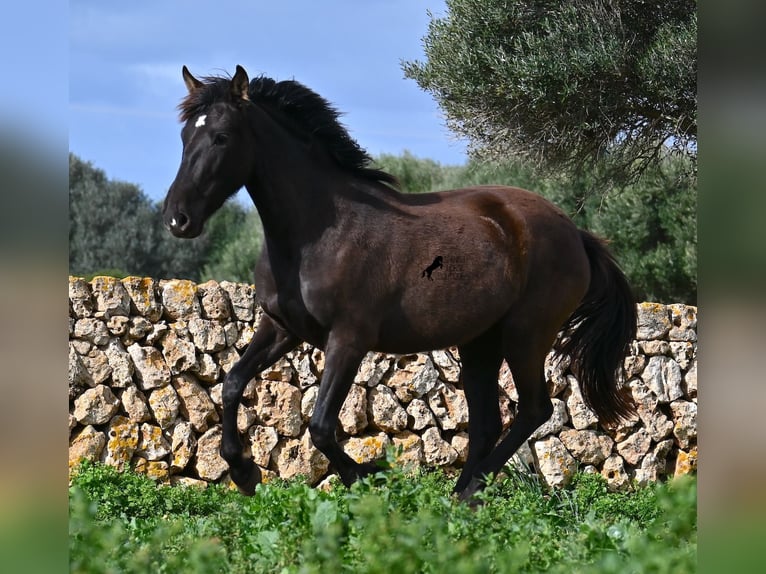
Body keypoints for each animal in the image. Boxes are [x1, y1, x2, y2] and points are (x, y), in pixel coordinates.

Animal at [162, 65, 636, 502]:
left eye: (221, 137)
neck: (316, 232)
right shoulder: (282, 328)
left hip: (526, 335)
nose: (177, 218)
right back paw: (457, 499)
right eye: (184, 137)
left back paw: (469, 492)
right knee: (487, 424)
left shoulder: (349, 339)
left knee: (535, 410)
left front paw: (367, 478)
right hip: (479, 342)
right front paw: (243, 473)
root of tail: (576, 233)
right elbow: (231, 384)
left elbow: (320, 427)